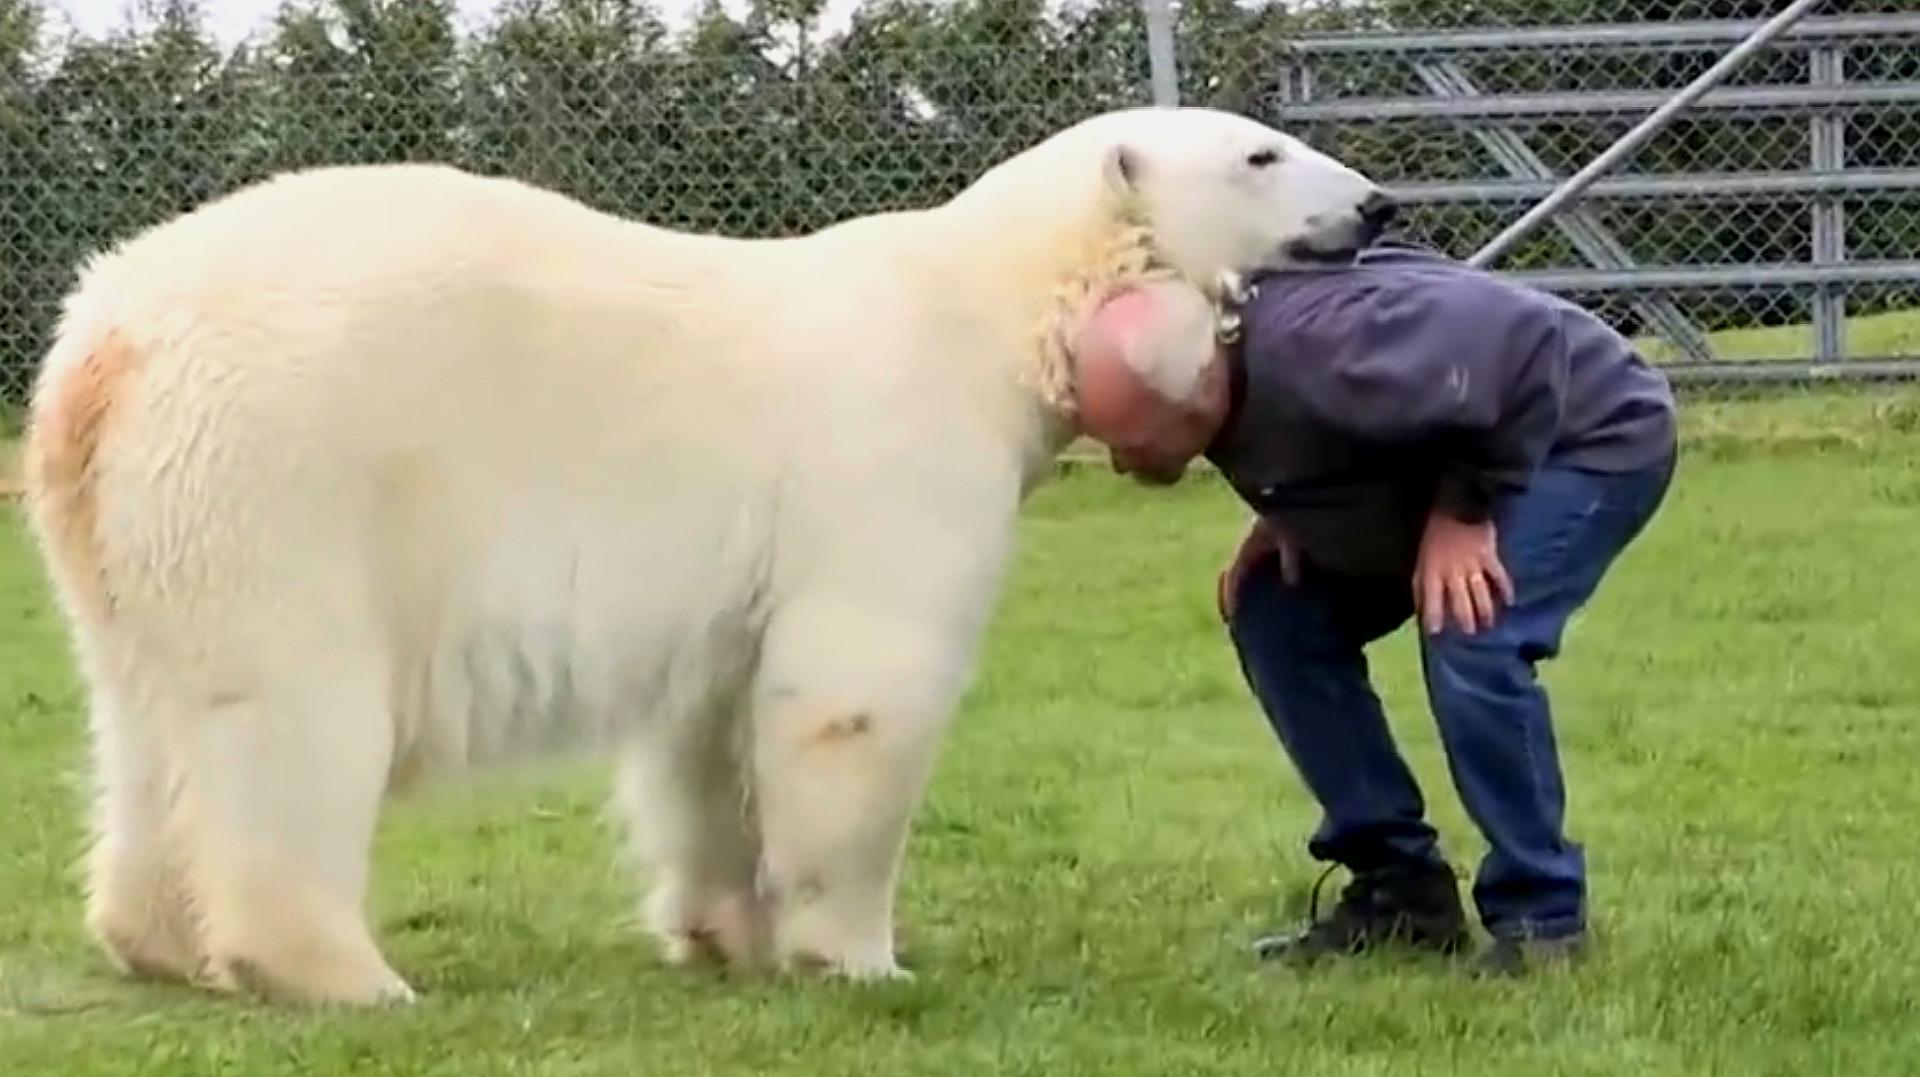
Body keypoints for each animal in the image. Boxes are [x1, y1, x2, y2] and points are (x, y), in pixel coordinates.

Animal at [22, 105, 1390, 1005]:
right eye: (1262, 153)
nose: (1378, 203)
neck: (990, 309)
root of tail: (104, 345)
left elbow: (714, 727)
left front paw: (727, 933)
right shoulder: (892, 450)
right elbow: (857, 691)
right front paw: (863, 958)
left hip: (128, 525)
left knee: (143, 719)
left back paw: (157, 942)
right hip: (283, 477)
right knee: (290, 722)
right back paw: (338, 973)